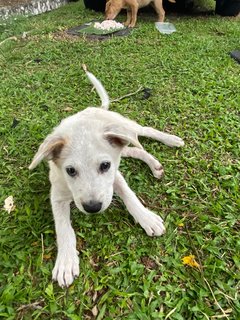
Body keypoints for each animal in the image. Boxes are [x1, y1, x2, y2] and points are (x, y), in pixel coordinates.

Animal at [29, 70, 184, 288]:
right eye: (70, 171)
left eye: (104, 166)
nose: (92, 207)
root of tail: (96, 109)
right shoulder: (57, 195)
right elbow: (63, 228)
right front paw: (66, 261)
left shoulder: (114, 175)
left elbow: (129, 195)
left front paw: (146, 218)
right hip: (122, 146)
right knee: (135, 149)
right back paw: (154, 165)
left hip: (126, 128)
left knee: (145, 131)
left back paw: (171, 139)